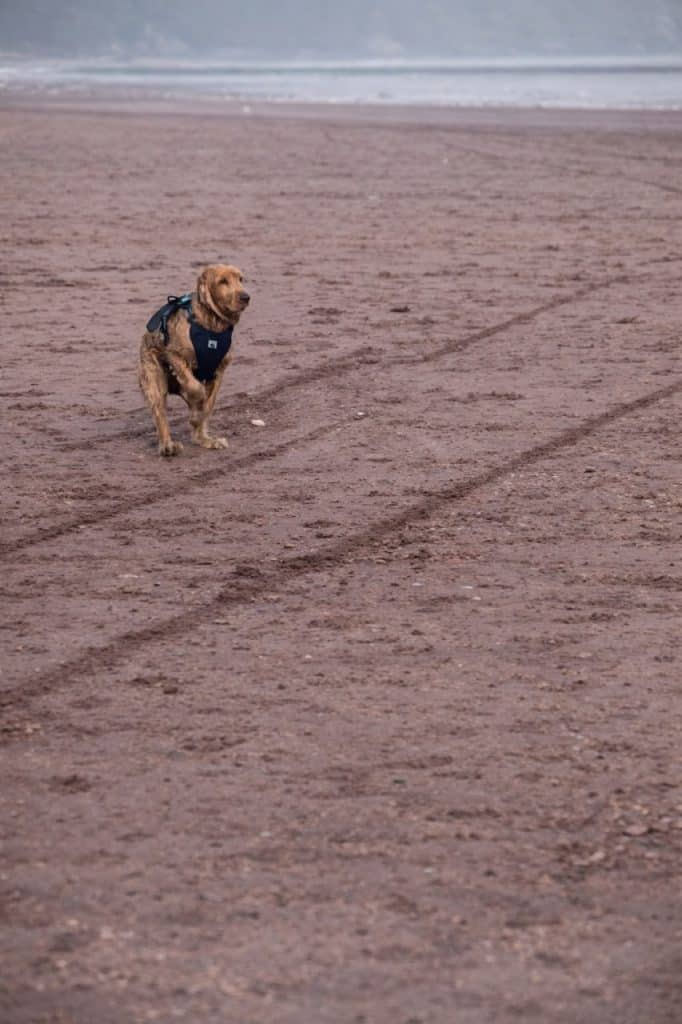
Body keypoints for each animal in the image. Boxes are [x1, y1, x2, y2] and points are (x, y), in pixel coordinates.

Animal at [139, 264, 250, 456]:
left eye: (240, 279)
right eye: (223, 281)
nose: (246, 297)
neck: (212, 325)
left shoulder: (219, 371)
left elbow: (208, 404)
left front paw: (199, 418)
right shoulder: (175, 355)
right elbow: (195, 388)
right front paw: (196, 410)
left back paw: (206, 439)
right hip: (154, 380)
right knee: (161, 415)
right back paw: (168, 446)